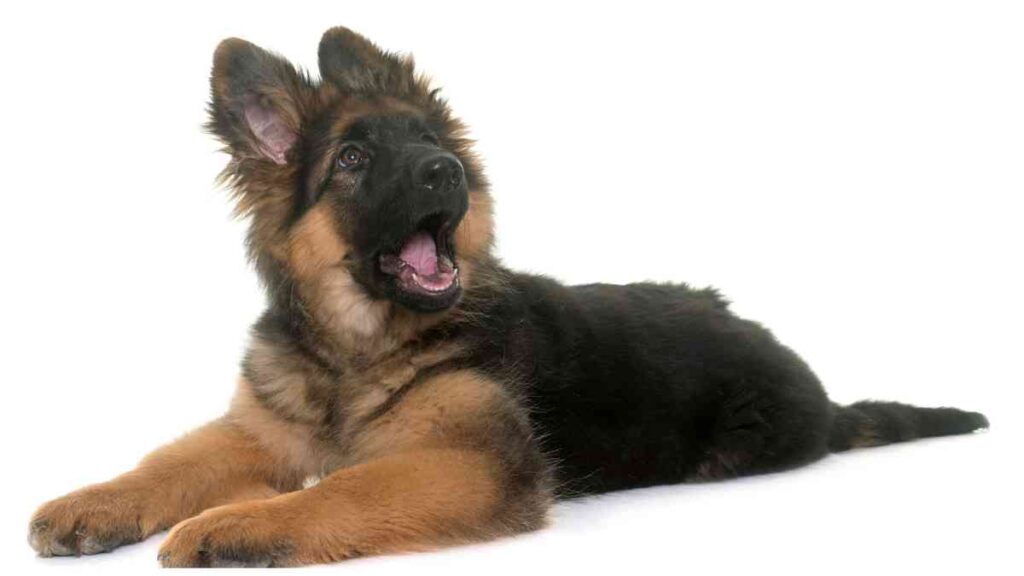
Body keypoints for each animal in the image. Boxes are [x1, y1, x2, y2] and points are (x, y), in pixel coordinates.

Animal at [28, 26, 987, 565]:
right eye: (353, 159)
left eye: (430, 141)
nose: (444, 171)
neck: (357, 347)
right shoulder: (260, 427)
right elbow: (168, 461)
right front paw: (92, 503)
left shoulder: (478, 462)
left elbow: (341, 490)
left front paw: (233, 525)